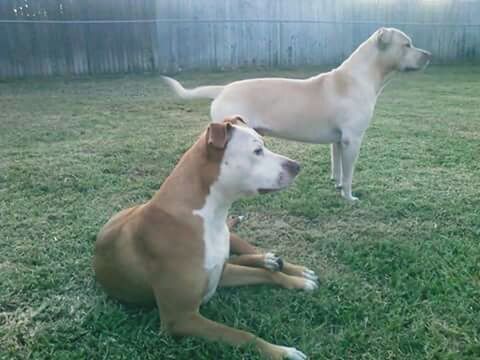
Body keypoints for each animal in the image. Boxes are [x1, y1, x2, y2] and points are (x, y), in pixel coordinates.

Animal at [94, 116, 318, 358]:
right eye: (257, 151)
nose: (297, 166)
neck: (207, 213)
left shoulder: (220, 274)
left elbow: (267, 275)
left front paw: (298, 281)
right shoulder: (180, 318)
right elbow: (241, 335)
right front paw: (283, 352)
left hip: (234, 240)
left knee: (248, 252)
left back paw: (290, 267)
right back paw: (270, 261)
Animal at [164, 27, 432, 202]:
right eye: (407, 45)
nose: (429, 55)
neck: (359, 78)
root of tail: (222, 89)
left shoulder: (338, 141)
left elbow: (337, 166)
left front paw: (336, 184)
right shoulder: (352, 140)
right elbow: (348, 174)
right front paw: (348, 197)